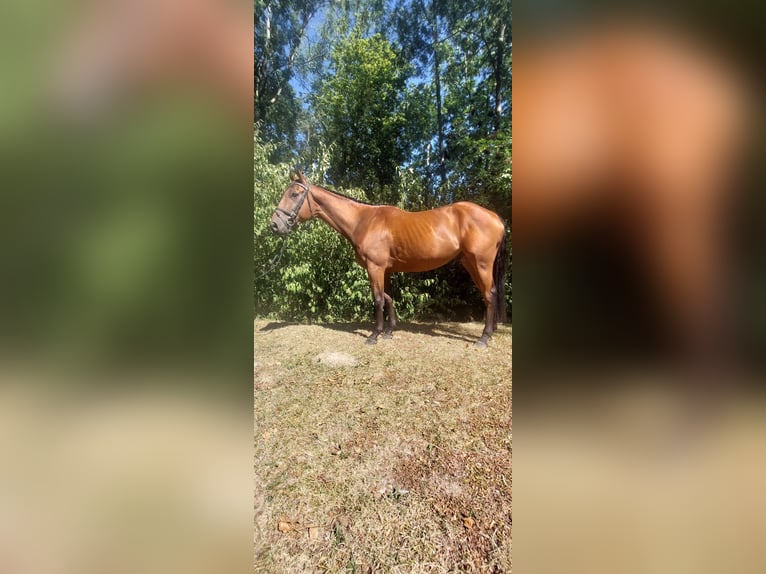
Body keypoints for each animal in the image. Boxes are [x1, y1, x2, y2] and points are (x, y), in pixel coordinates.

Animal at [270, 171, 508, 348]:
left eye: (294, 194)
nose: (275, 224)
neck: (363, 221)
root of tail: (495, 217)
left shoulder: (374, 267)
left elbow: (377, 299)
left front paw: (374, 335)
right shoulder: (386, 270)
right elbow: (389, 298)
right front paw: (389, 332)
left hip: (481, 264)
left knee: (489, 294)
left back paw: (484, 338)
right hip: (470, 263)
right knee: (489, 293)